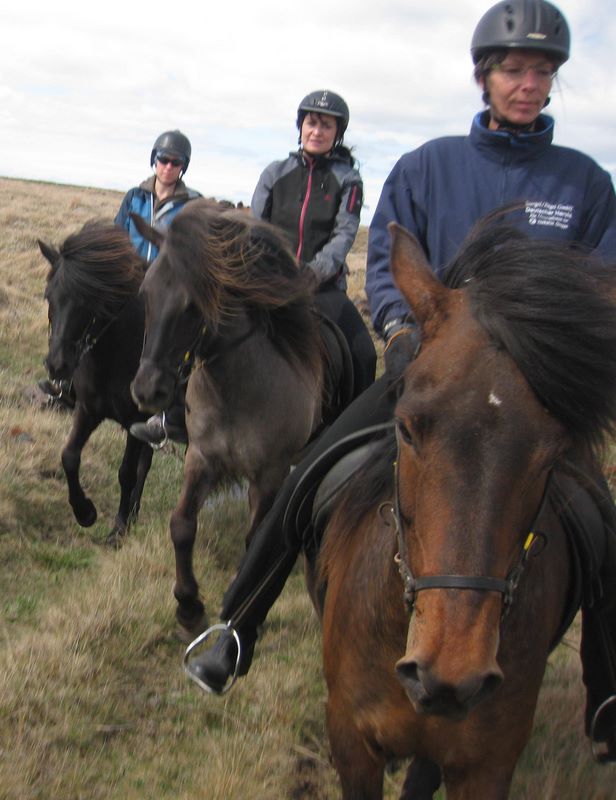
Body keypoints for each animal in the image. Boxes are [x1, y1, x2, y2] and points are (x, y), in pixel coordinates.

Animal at [39, 221, 154, 545]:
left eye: (90, 301)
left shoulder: (135, 421)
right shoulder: (88, 410)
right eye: (49, 296)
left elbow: (126, 472)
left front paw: (118, 528)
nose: (58, 364)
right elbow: (69, 456)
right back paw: (135, 512)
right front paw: (85, 513)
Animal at [130, 199, 353, 636]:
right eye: (146, 293)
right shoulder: (201, 458)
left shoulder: (268, 474)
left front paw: (240, 603)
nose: (148, 391)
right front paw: (188, 606)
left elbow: (255, 541)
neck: (236, 389)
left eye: (194, 304)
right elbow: (182, 525)